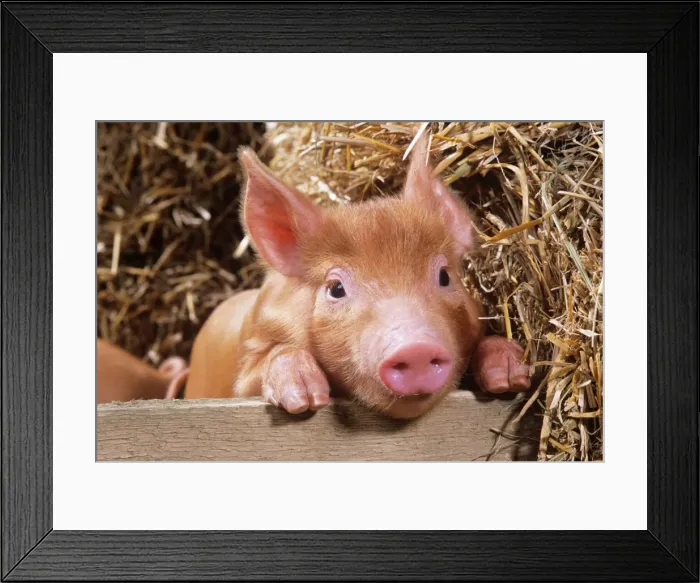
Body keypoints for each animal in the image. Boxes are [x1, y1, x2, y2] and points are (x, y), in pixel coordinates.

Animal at [183, 133, 531, 419]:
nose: (416, 347)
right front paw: (305, 398)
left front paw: (511, 375)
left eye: (444, 276)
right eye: (336, 288)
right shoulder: (246, 364)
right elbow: (265, 365)